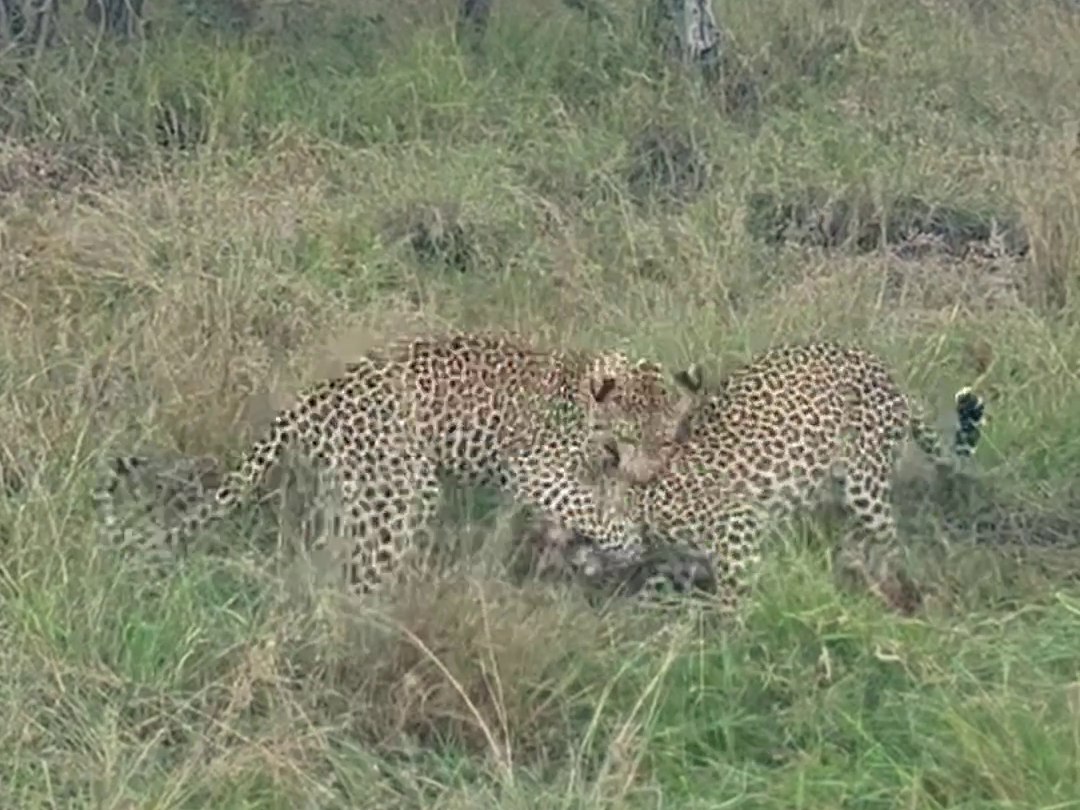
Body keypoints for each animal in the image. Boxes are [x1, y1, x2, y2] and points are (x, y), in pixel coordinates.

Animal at [95, 330, 689, 593]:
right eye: (631, 435)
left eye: (668, 440)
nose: (649, 471)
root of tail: (311, 399)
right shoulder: (535, 468)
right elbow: (589, 507)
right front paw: (624, 539)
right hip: (399, 487)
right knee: (363, 572)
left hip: (357, 487)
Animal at [563, 341, 987, 613]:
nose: (571, 565)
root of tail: (885, 370)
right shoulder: (677, 561)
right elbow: (654, 591)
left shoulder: (738, 526)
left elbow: (731, 598)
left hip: (864, 483)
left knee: (888, 540)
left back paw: (881, 580)